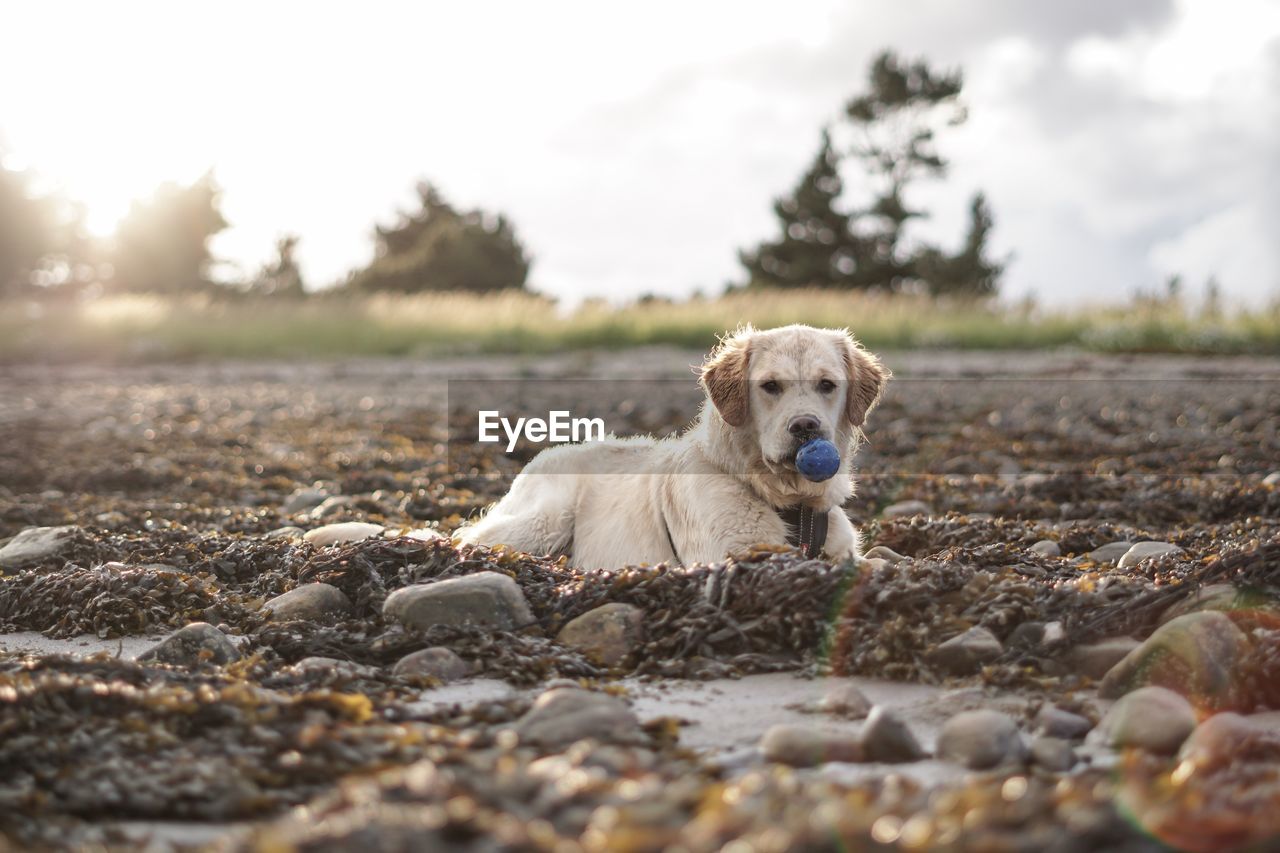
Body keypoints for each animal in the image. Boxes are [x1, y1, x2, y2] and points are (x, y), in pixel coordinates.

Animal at [453, 322, 890, 568]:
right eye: (770, 386)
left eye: (827, 384)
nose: (805, 427)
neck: (791, 502)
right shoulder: (726, 553)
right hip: (545, 520)